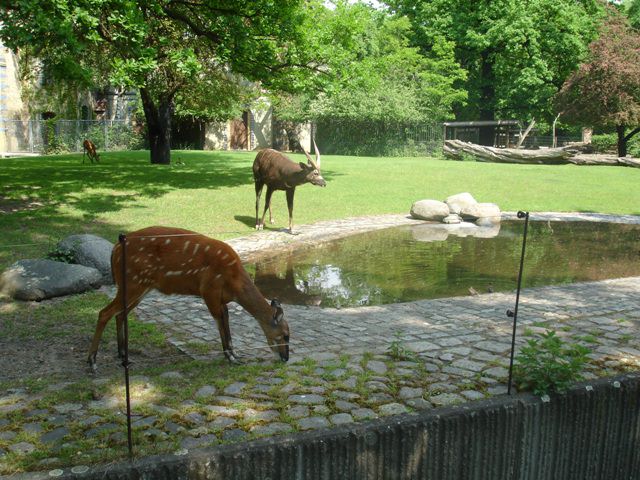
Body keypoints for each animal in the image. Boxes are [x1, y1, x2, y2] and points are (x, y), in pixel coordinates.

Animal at [87, 226, 290, 372]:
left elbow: (226, 322)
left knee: (120, 314)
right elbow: (221, 323)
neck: (235, 283)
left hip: (138, 288)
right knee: (104, 312)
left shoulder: (221, 299)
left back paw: (123, 356)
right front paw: (232, 358)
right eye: (285, 334)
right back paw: (92, 362)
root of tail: (115, 249)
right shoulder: (209, 291)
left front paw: (235, 356)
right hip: (132, 283)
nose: (286, 358)